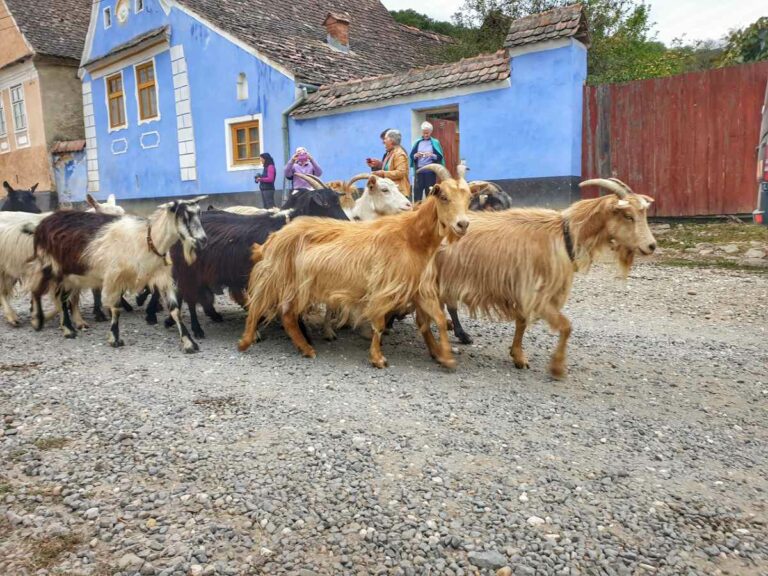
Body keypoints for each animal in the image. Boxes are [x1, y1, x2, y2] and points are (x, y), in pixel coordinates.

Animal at [30, 198, 207, 352]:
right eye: (184, 215)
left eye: (199, 213)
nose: (203, 240)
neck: (146, 240)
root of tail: (44, 222)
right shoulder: (115, 277)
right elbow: (115, 308)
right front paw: (115, 338)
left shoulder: (162, 277)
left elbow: (175, 309)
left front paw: (189, 343)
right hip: (52, 266)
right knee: (41, 290)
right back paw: (46, 323)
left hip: (70, 273)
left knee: (60, 297)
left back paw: (67, 325)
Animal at [238, 164, 471, 369]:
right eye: (443, 197)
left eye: (468, 198)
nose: (463, 224)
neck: (410, 236)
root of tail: (275, 237)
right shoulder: (383, 288)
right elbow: (379, 324)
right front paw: (377, 358)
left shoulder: (418, 289)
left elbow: (437, 319)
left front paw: (444, 356)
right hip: (280, 277)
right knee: (259, 305)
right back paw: (246, 341)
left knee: (286, 314)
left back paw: (305, 348)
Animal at [438, 178, 656, 379]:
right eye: (628, 216)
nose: (651, 246)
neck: (564, 235)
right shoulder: (536, 294)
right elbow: (566, 327)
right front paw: (557, 367)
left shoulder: (524, 290)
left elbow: (522, 322)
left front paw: (519, 357)